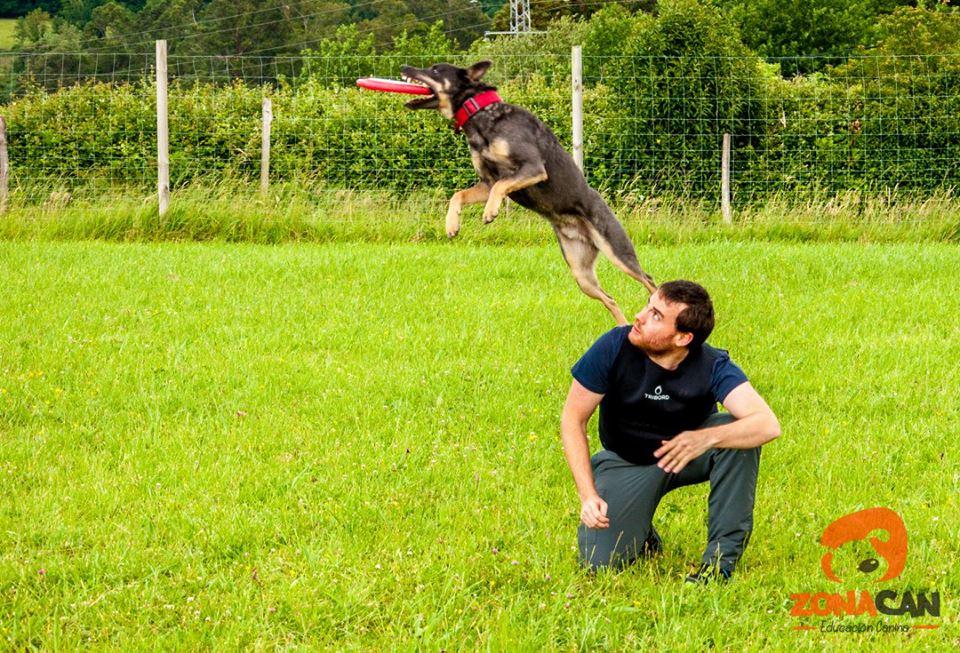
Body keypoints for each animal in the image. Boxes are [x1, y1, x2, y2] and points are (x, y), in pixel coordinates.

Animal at [400, 60, 657, 325]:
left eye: (435, 70)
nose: (405, 66)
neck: (483, 117)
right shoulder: (487, 183)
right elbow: (458, 195)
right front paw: (452, 224)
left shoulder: (532, 168)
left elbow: (501, 187)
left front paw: (490, 212)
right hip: (581, 273)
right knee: (610, 299)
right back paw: (623, 326)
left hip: (618, 251)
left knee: (649, 281)